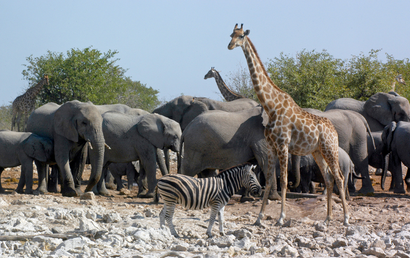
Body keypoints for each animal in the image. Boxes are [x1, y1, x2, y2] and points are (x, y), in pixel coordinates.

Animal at [227, 23, 350, 226]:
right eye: (231, 34)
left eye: (241, 35)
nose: (230, 45)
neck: (271, 106)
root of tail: (334, 130)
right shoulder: (271, 146)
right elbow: (270, 181)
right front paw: (259, 218)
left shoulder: (283, 145)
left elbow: (283, 181)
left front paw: (281, 218)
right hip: (317, 151)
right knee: (328, 179)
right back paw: (327, 218)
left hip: (330, 148)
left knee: (338, 177)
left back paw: (347, 219)